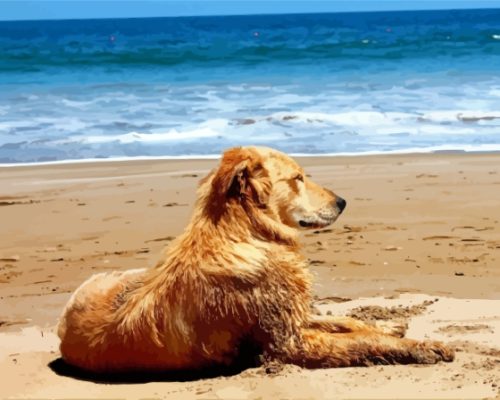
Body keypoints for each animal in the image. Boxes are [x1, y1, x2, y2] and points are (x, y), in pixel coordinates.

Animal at [57, 146, 454, 372]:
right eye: (297, 178)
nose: (343, 202)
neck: (248, 232)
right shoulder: (289, 343)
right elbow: (359, 342)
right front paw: (421, 347)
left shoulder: (290, 315)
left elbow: (347, 323)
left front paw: (388, 327)